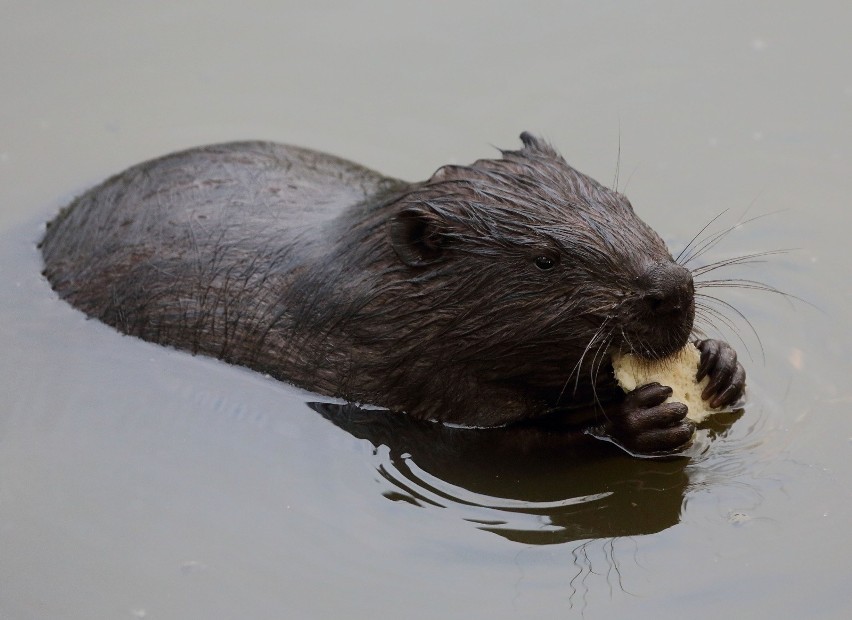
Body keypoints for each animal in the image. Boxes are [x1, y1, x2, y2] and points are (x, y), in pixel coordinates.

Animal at [40, 133, 744, 456]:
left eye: (623, 202)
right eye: (545, 259)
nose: (670, 290)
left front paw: (721, 364)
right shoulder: (396, 369)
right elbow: (498, 442)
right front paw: (639, 418)